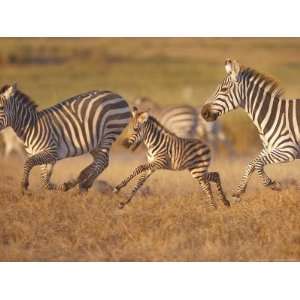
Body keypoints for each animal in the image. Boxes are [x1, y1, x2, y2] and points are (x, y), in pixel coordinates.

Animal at [0, 83, 131, 193]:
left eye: (1, 108)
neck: (31, 127)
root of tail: (117, 95)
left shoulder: (51, 152)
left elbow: (28, 163)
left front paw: (24, 185)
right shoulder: (46, 157)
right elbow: (45, 182)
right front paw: (64, 186)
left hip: (109, 133)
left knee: (101, 161)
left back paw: (83, 183)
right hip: (95, 142)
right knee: (103, 162)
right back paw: (83, 181)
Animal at [200, 58, 300, 199]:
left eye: (224, 89)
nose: (203, 113)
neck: (272, 115)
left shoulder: (288, 150)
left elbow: (258, 163)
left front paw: (272, 184)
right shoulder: (270, 148)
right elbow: (251, 163)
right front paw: (239, 191)